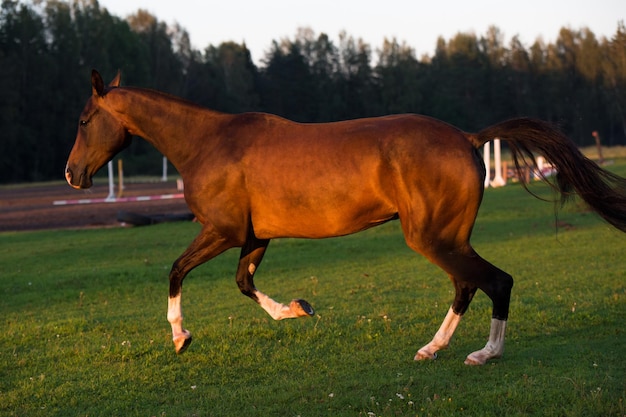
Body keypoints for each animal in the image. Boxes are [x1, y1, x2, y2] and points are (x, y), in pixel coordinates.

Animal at [64, 70, 624, 364]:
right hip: (446, 237)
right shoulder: (254, 235)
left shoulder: (221, 231)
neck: (208, 143)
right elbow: (245, 283)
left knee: (495, 281)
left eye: (85, 120)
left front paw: (180, 337)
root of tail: (468, 138)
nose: (72, 174)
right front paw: (298, 309)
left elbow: (177, 270)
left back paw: (484, 353)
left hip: (432, 237)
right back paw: (432, 347)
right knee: (468, 285)